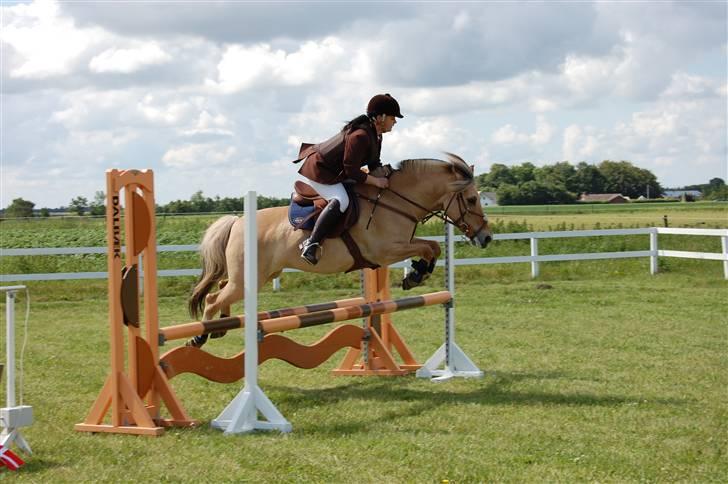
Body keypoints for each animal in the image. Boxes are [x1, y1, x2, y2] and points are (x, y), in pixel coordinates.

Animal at [187, 153, 492, 345]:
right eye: (471, 199)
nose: (486, 237)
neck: (395, 202)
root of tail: (238, 221)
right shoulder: (385, 251)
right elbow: (430, 247)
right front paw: (416, 275)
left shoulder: (394, 249)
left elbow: (432, 248)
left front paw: (416, 274)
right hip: (248, 278)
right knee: (213, 298)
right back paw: (200, 336)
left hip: (258, 275)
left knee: (222, 288)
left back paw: (221, 325)